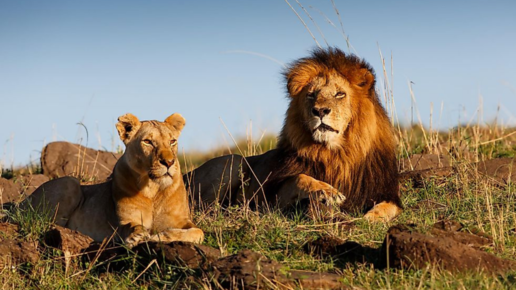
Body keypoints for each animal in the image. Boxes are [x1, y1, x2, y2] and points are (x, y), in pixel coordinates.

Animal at [26, 113, 204, 247]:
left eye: (172, 141)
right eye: (148, 141)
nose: (169, 162)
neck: (153, 188)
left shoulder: (182, 220)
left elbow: (198, 232)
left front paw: (161, 236)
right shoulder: (124, 221)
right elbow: (131, 226)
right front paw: (137, 236)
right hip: (69, 182)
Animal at [185, 46, 404, 221]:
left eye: (339, 94)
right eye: (311, 95)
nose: (320, 111)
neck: (336, 154)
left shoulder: (384, 191)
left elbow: (389, 207)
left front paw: (370, 218)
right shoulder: (274, 197)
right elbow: (301, 177)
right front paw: (328, 191)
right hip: (233, 161)